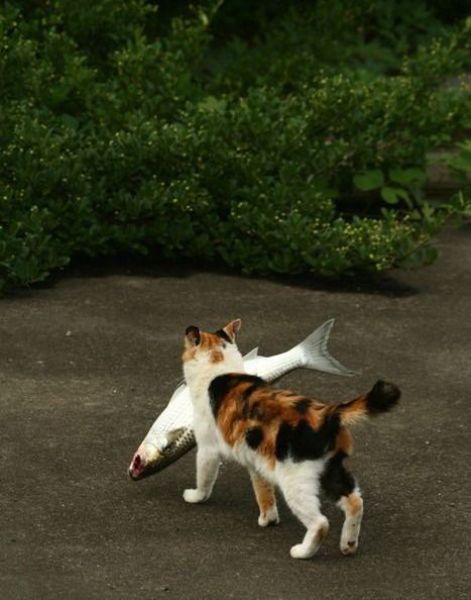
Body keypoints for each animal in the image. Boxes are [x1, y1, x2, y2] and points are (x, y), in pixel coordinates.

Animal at [182, 319, 400, 559]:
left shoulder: (207, 449)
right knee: (355, 502)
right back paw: (348, 544)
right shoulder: (257, 462)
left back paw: (303, 551)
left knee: (321, 523)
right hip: (331, 471)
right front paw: (268, 519)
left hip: (295, 480)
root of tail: (327, 413)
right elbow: (263, 491)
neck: (220, 367)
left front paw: (195, 496)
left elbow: (205, 478)